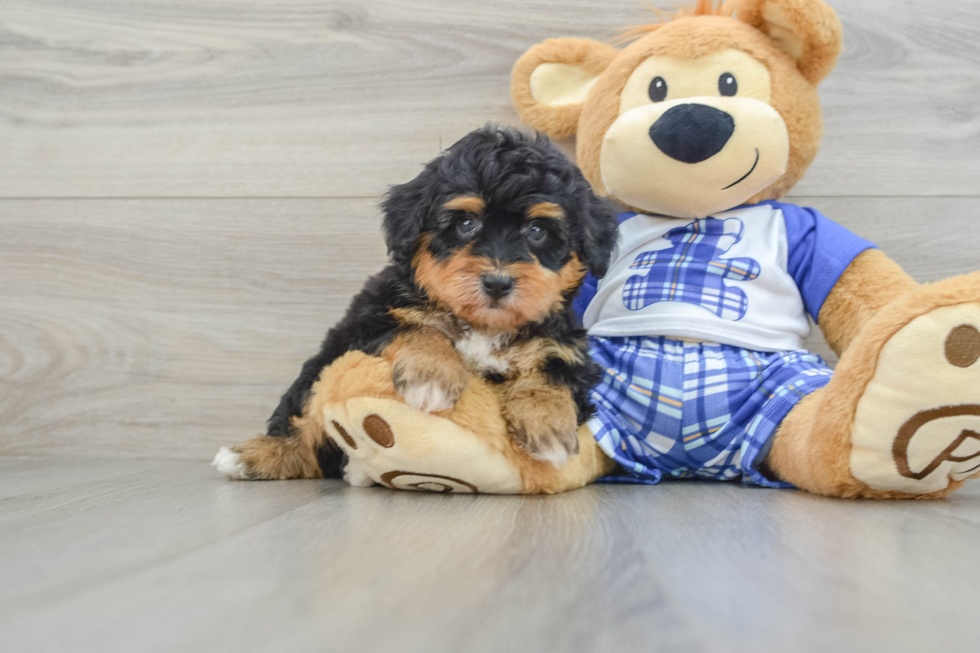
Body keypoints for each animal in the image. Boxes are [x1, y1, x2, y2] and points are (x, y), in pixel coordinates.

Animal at [214, 127, 616, 482]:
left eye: (537, 231)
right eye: (466, 223)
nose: (497, 282)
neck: (481, 325)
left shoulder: (566, 349)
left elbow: (550, 371)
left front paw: (548, 425)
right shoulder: (369, 319)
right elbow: (416, 327)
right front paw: (431, 375)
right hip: (321, 369)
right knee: (303, 420)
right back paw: (253, 456)